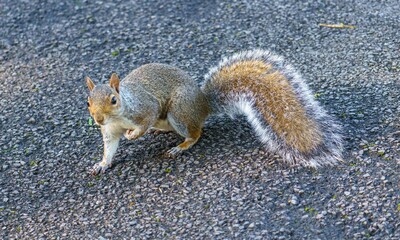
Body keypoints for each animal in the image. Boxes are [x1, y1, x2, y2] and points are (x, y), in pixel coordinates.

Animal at [86, 49, 342, 175]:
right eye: (88, 102)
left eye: (113, 100)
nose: (98, 119)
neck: (118, 117)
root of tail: (203, 104)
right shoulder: (110, 130)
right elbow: (110, 148)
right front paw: (102, 164)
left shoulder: (144, 107)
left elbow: (144, 121)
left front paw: (133, 134)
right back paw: (160, 133)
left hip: (179, 112)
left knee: (196, 133)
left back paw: (180, 146)